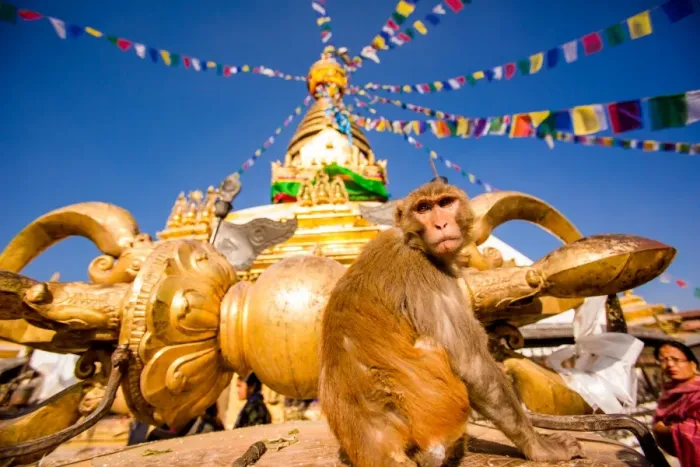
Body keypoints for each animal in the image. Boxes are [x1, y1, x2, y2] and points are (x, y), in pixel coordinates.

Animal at [319, 179, 584, 467]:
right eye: (423, 208)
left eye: (445, 203)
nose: (440, 225)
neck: (413, 242)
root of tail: (376, 448)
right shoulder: (428, 273)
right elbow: (473, 366)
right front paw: (540, 447)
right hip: (440, 416)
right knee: (433, 346)